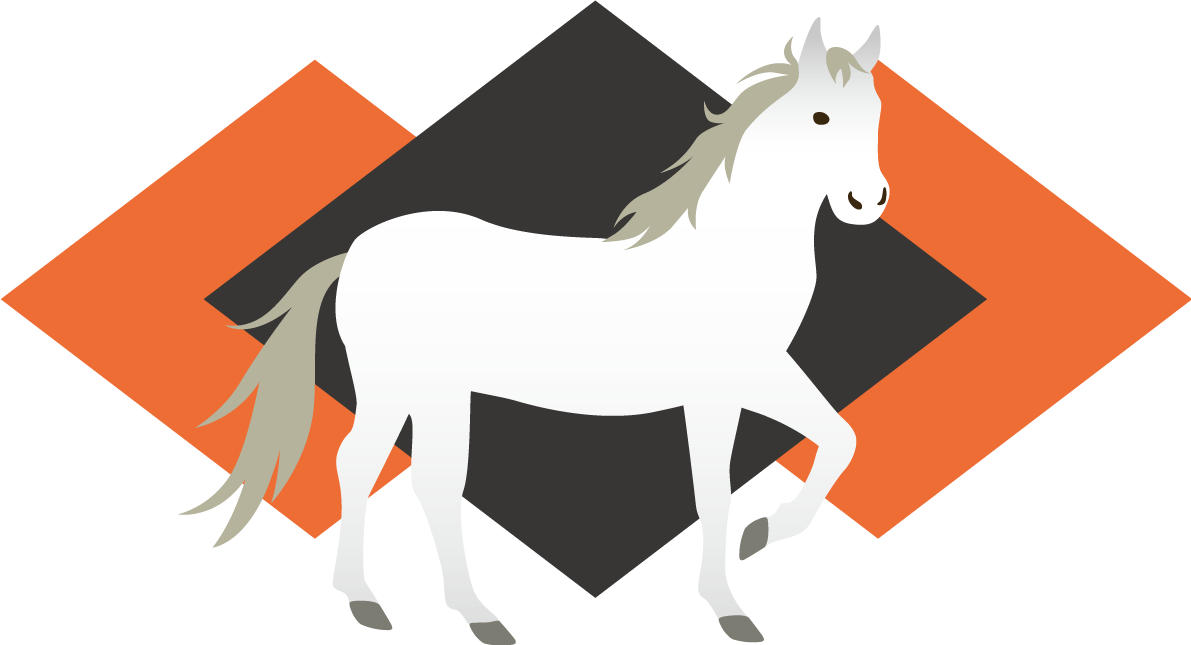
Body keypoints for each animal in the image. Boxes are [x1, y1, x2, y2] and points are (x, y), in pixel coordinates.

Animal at [183, 18, 886, 644]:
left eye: (877, 114)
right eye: (821, 119)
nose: (868, 202)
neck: (724, 260)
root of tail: (356, 250)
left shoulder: (764, 375)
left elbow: (842, 439)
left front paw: (765, 536)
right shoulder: (716, 393)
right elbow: (715, 492)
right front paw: (729, 604)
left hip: (440, 394)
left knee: (431, 483)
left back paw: (475, 616)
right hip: (392, 388)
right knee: (358, 465)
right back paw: (364, 601)